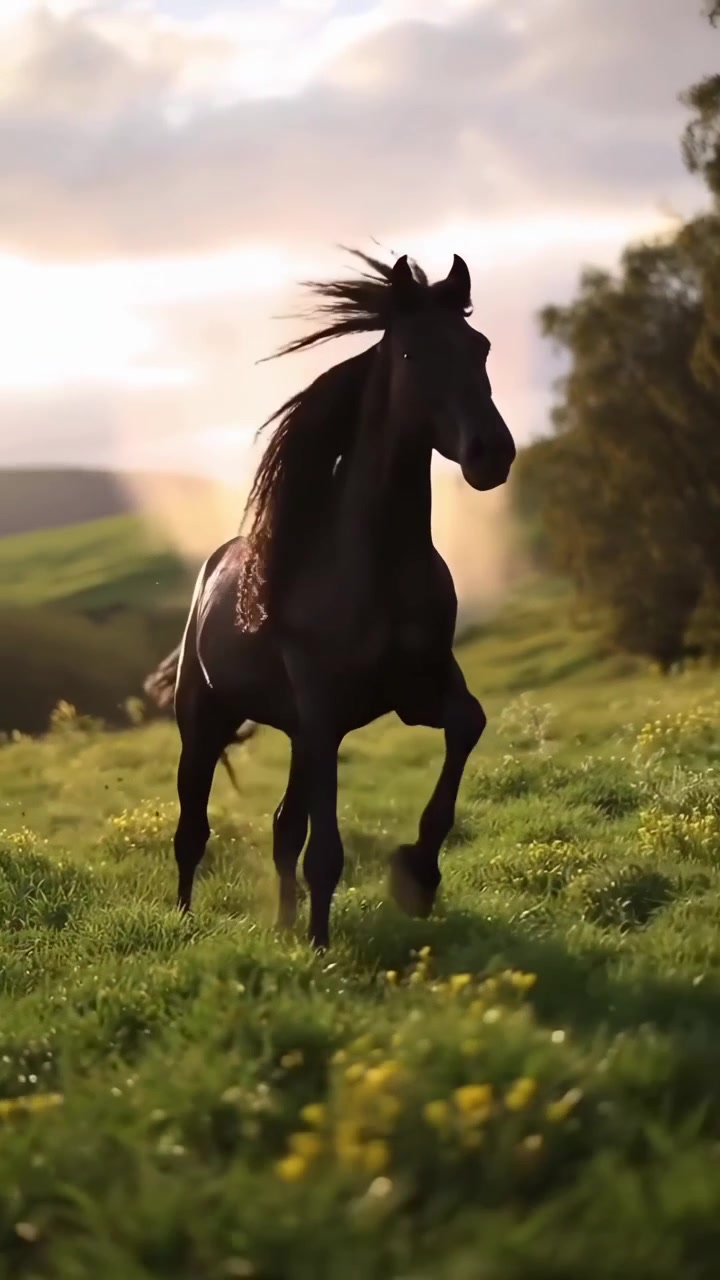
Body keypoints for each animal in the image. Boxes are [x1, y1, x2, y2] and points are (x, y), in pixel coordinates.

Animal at [171, 248, 516, 950]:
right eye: (411, 353)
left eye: (481, 346)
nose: (491, 455)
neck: (376, 571)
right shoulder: (326, 712)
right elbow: (324, 851)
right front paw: (322, 950)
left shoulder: (418, 692)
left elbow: (468, 724)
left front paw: (417, 876)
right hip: (206, 722)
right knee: (192, 829)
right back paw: (188, 924)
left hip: (299, 736)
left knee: (281, 824)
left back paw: (281, 925)